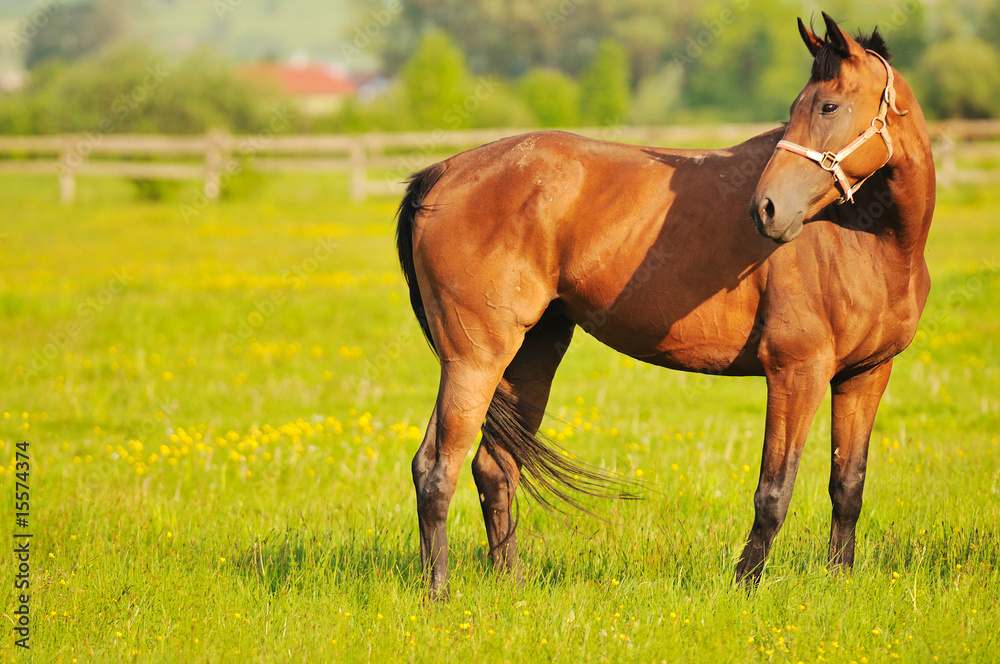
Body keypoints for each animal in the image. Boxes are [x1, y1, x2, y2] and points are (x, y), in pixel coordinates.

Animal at [395, 12, 934, 599]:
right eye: (798, 106)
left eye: (828, 106)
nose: (766, 209)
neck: (869, 238)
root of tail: (442, 174)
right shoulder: (797, 372)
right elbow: (774, 491)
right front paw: (743, 586)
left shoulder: (866, 375)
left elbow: (847, 485)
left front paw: (838, 580)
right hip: (474, 359)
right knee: (436, 468)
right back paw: (438, 593)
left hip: (528, 354)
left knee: (493, 467)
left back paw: (510, 583)